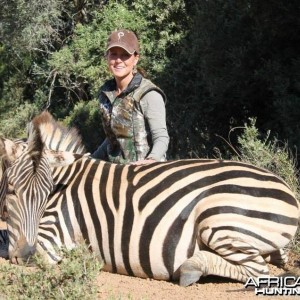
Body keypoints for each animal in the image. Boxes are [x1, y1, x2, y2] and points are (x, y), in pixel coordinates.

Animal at [0, 112, 298, 286]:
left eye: (47, 195)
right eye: (12, 190)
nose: (24, 255)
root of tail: (286, 189)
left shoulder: (53, 237)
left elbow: (5, 244)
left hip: (218, 218)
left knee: (257, 271)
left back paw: (191, 267)